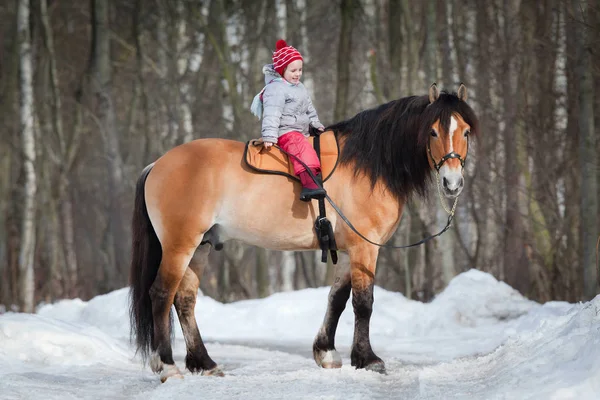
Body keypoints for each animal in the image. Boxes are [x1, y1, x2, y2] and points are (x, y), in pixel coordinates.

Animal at [130, 82, 478, 382]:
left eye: (465, 131)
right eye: (432, 130)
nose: (452, 183)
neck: (368, 165)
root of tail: (157, 164)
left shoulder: (348, 250)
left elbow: (337, 299)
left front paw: (327, 353)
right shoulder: (366, 247)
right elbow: (363, 303)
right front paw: (368, 359)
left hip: (199, 247)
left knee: (185, 300)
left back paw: (204, 363)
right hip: (180, 245)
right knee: (161, 294)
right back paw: (167, 366)